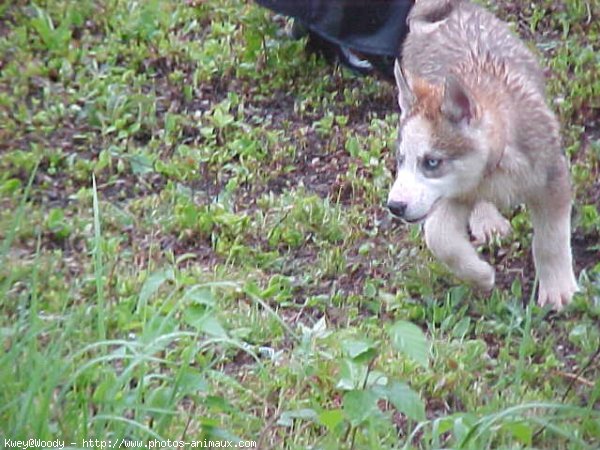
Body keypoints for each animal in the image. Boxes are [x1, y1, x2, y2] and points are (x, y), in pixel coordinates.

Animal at [386, 0, 580, 310]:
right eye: (401, 159)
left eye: (431, 162)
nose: (395, 206)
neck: (495, 168)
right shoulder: (455, 194)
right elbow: (439, 237)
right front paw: (480, 275)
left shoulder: (552, 178)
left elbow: (549, 240)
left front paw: (558, 289)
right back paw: (487, 221)